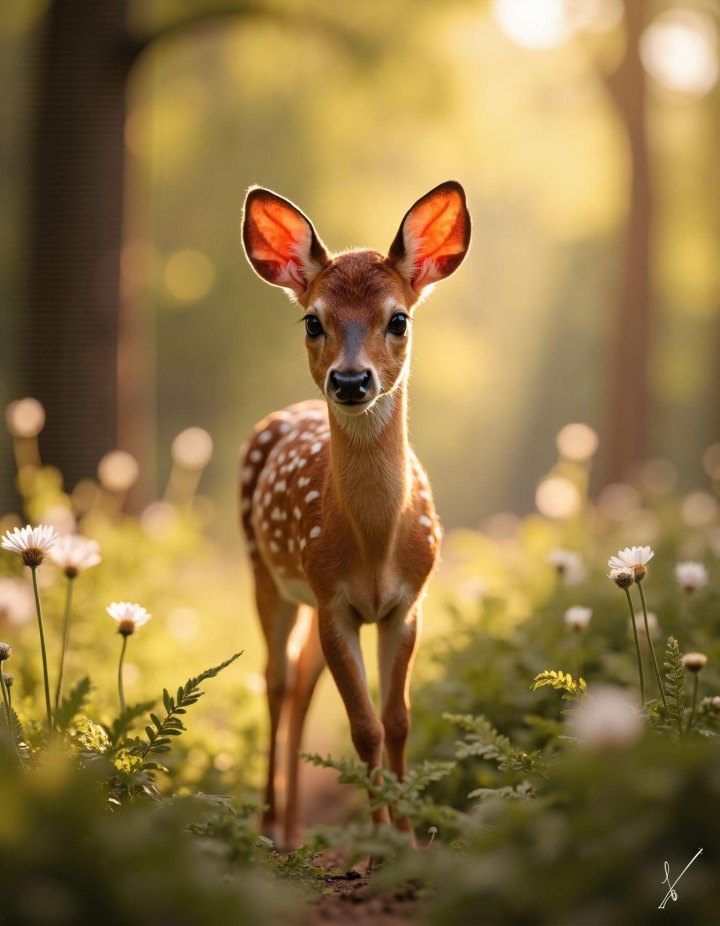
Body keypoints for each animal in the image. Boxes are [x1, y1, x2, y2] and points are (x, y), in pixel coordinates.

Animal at [240, 181, 471, 847]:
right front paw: (379, 848)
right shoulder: (332, 598)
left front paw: (409, 839)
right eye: (312, 320)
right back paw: (272, 827)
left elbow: (396, 720)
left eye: (399, 319)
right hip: (266, 572)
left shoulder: (406, 603)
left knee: (299, 684)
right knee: (276, 679)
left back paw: (293, 826)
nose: (349, 380)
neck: (372, 547)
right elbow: (363, 726)